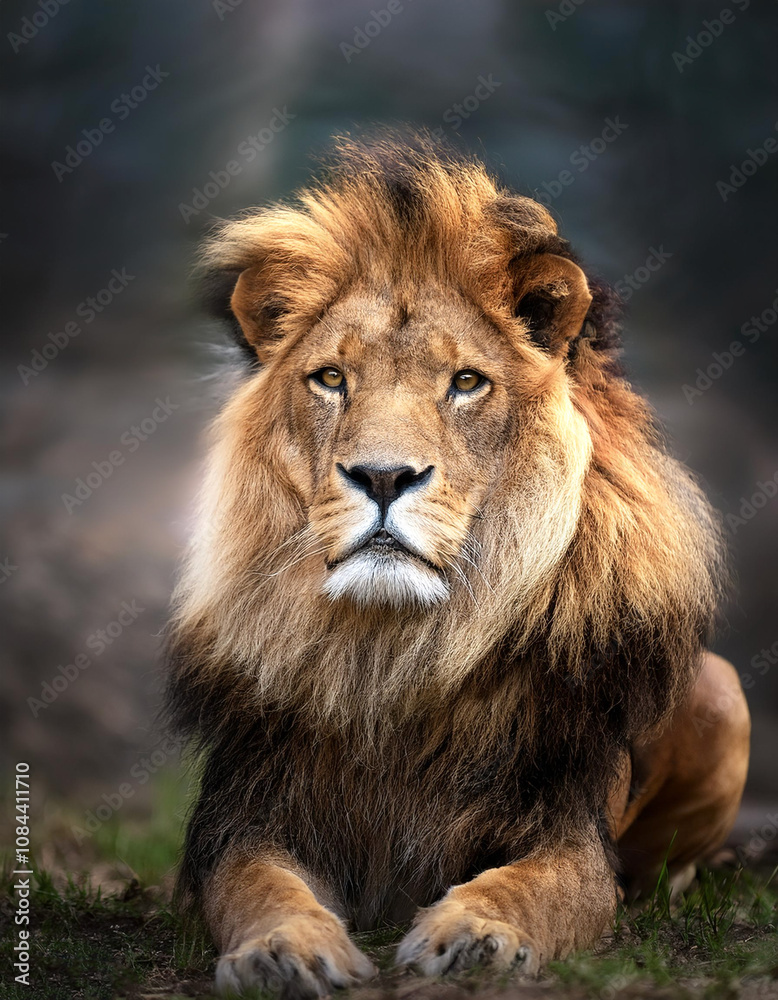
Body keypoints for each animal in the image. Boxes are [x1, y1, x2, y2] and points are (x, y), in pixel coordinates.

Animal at [165, 131, 750, 998]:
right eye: (331, 378)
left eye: (467, 382)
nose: (382, 477)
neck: (394, 653)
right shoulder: (243, 817)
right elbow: (256, 886)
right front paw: (282, 950)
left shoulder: (568, 826)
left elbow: (534, 887)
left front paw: (475, 934)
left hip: (722, 690)